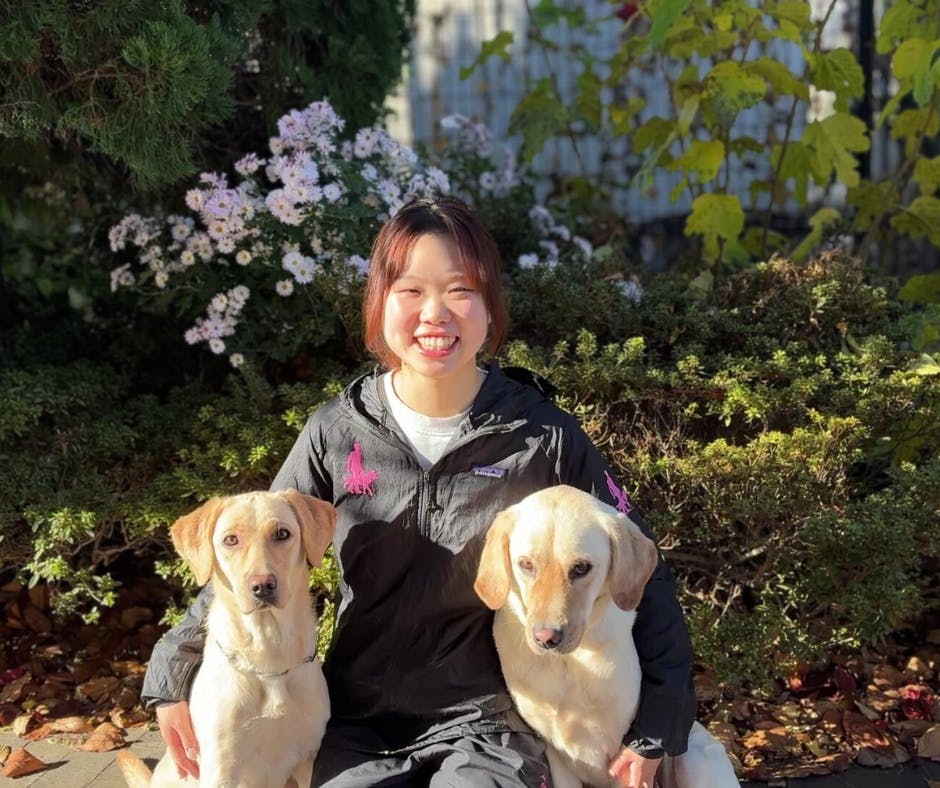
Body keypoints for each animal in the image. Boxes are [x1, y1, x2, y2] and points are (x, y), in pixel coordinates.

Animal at [118, 489, 335, 788]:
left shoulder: (308, 759)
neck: (268, 657)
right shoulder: (221, 767)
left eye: (282, 533)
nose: (263, 586)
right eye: (231, 540)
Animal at [474, 485, 739, 788]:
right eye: (526, 564)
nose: (546, 638)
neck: (568, 663)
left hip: (696, 758)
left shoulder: (627, 761)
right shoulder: (555, 756)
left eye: (581, 568)